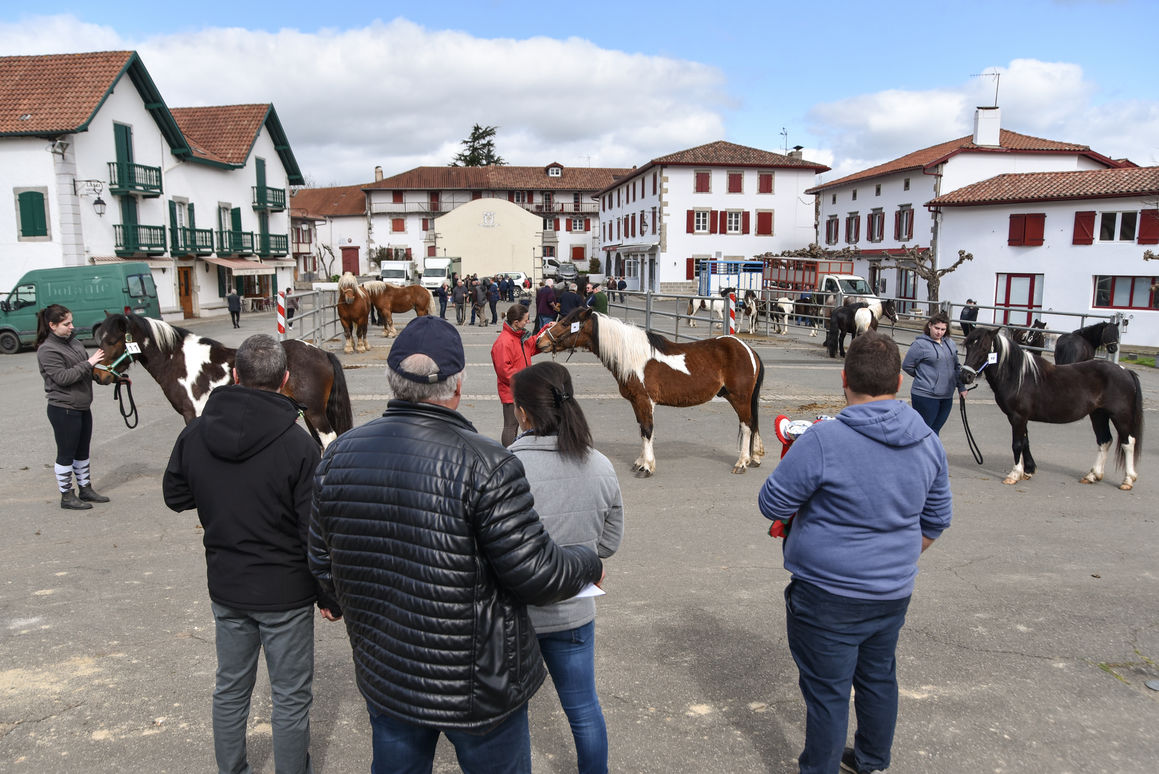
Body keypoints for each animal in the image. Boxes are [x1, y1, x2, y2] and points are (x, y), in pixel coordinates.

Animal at [93, 310, 352, 447]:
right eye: (100, 339)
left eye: (112, 341)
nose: (97, 375)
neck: (177, 359)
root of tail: (321, 352)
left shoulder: (192, 413)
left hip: (315, 413)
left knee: (329, 439)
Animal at [535, 305, 769, 475]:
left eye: (566, 323)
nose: (540, 341)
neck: (633, 356)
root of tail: (747, 349)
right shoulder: (636, 402)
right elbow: (642, 430)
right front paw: (640, 462)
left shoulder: (644, 400)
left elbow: (647, 430)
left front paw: (646, 467)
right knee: (753, 424)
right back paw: (755, 458)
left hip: (739, 398)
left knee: (747, 426)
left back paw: (742, 463)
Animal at [959, 326, 1140, 488]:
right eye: (968, 346)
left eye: (984, 348)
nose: (965, 376)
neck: (1017, 376)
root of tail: (1125, 371)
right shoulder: (1019, 418)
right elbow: (1025, 442)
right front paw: (1028, 470)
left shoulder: (1018, 417)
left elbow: (1017, 444)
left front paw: (1014, 474)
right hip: (1098, 414)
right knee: (1104, 441)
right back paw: (1092, 475)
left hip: (1120, 416)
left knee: (1128, 442)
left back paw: (1128, 480)